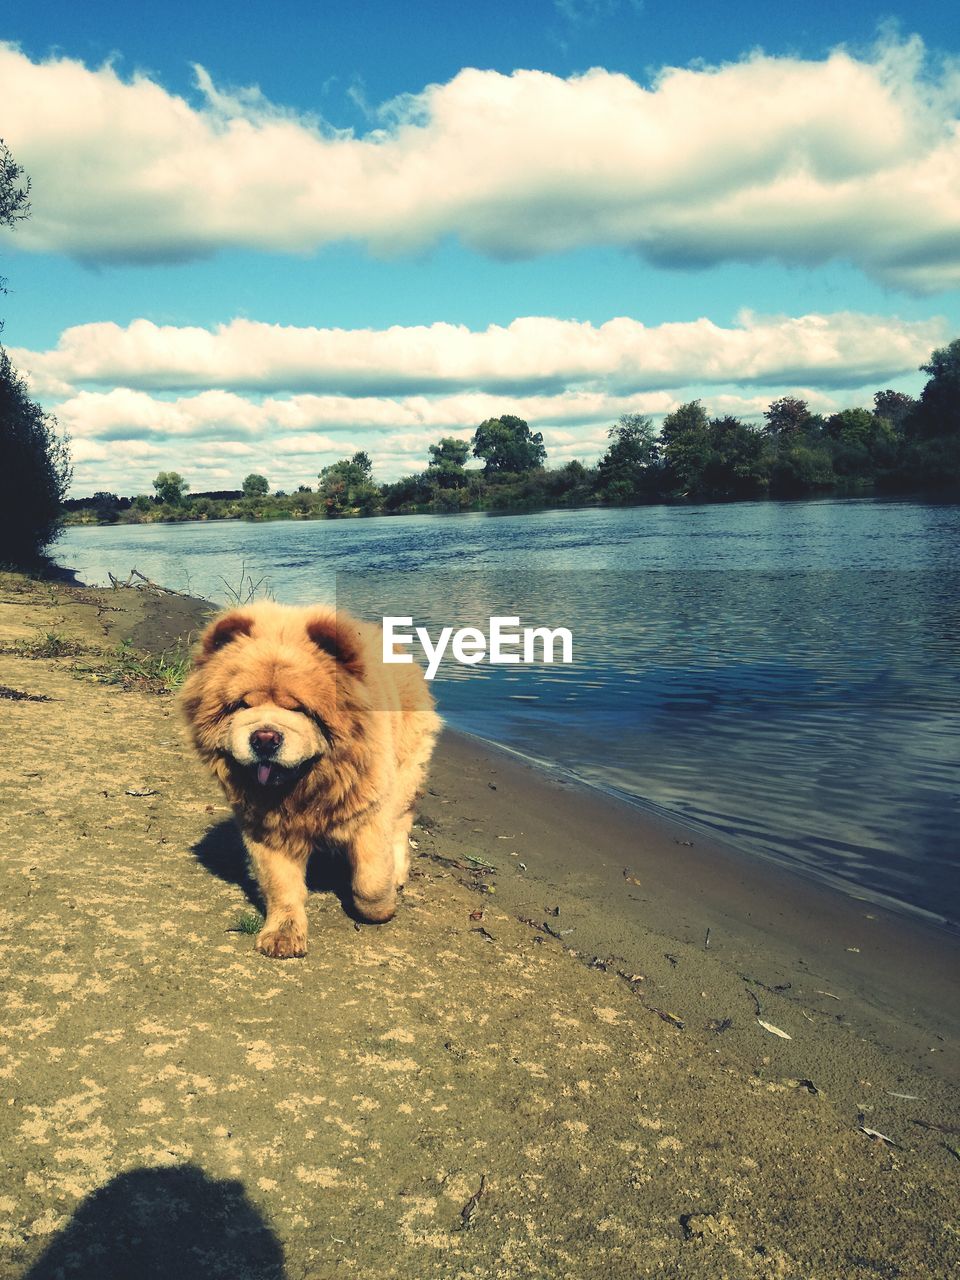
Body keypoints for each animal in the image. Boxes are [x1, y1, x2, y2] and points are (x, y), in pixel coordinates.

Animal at [180, 604, 442, 957]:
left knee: (401, 824)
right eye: (243, 704)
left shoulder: (369, 814)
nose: (264, 738)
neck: (305, 789)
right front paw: (283, 935)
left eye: (299, 708)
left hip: (405, 773)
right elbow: (281, 885)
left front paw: (382, 908)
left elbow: (371, 881)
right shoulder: (267, 830)